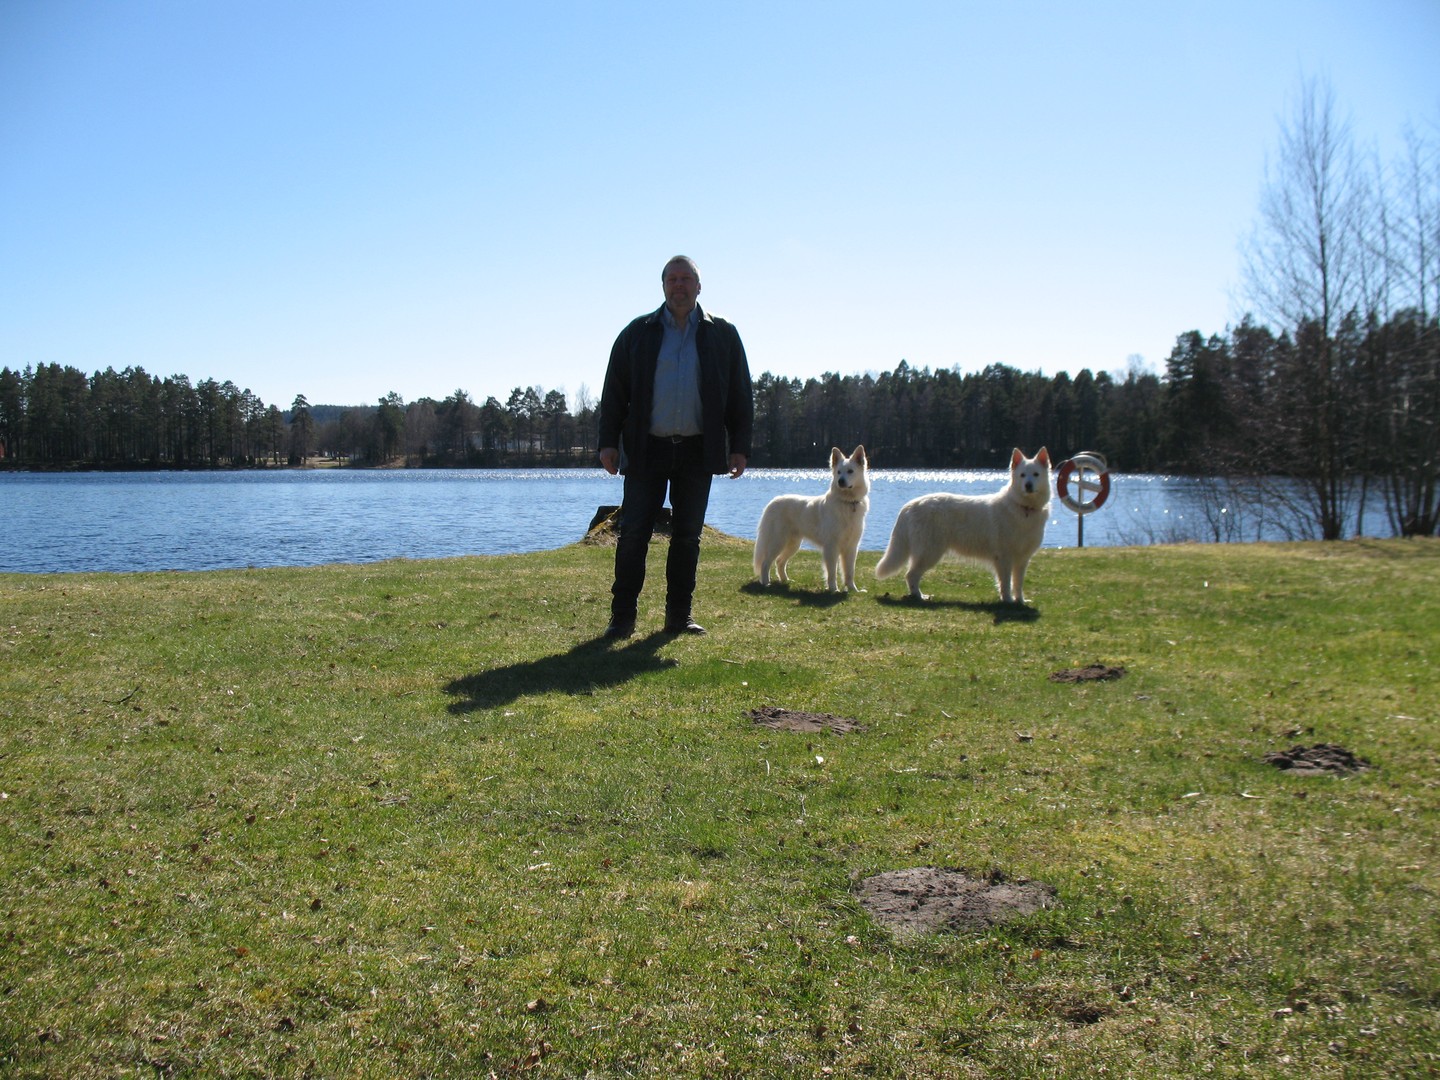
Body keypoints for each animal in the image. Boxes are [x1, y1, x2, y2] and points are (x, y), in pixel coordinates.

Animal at [754, 446, 864, 593]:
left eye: (850, 471)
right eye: (839, 472)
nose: (840, 481)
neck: (848, 502)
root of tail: (772, 502)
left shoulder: (851, 547)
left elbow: (850, 572)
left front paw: (853, 590)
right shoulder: (831, 546)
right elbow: (832, 572)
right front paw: (833, 590)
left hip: (793, 544)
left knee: (779, 561)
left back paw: (785, 580)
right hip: (778, 541)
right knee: (766, 563)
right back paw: (766, 583)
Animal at [869, 443, 1054, 604]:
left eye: (1036, 474)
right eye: (1022, 475)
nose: (1028, 485)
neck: (1024, 508)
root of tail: (910, 505)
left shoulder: (1022, 559)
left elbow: (1018, 584)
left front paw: (1020, 601)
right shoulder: (1004, 558)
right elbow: (1006, 584)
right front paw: (1007, 601)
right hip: (930, 552)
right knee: (911, 575)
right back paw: (920, 597)